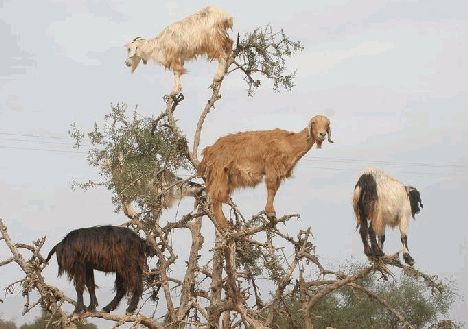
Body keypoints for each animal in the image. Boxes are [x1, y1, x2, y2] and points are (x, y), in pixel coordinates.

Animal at [197, 115, 332, 231]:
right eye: (314, 122)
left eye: (327, 124)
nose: (322, 134)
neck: (290, 142)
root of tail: (209, 151)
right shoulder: (272, 166)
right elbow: (271, 188)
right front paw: (270, 212)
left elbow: (275, 190)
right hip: (219, 172)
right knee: (216, 198)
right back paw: (224, 225)